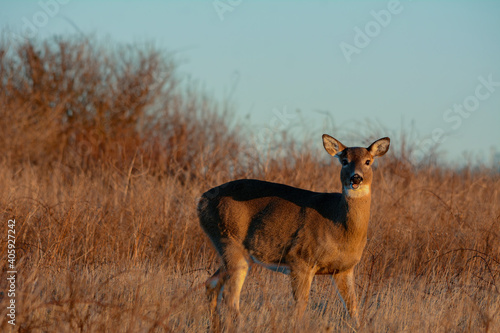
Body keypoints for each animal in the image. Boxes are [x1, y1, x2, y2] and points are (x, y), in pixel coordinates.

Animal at [198, 134, 390, 330]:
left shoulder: (344, 269)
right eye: (344, 161)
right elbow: (301, 306)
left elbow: (353, 306)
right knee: (230, 296)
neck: (338, 226)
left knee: (211, 284)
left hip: (233, 251)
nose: (356, 178)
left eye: (368, 161)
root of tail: (202, 201)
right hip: (230, 241)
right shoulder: (300, 259)